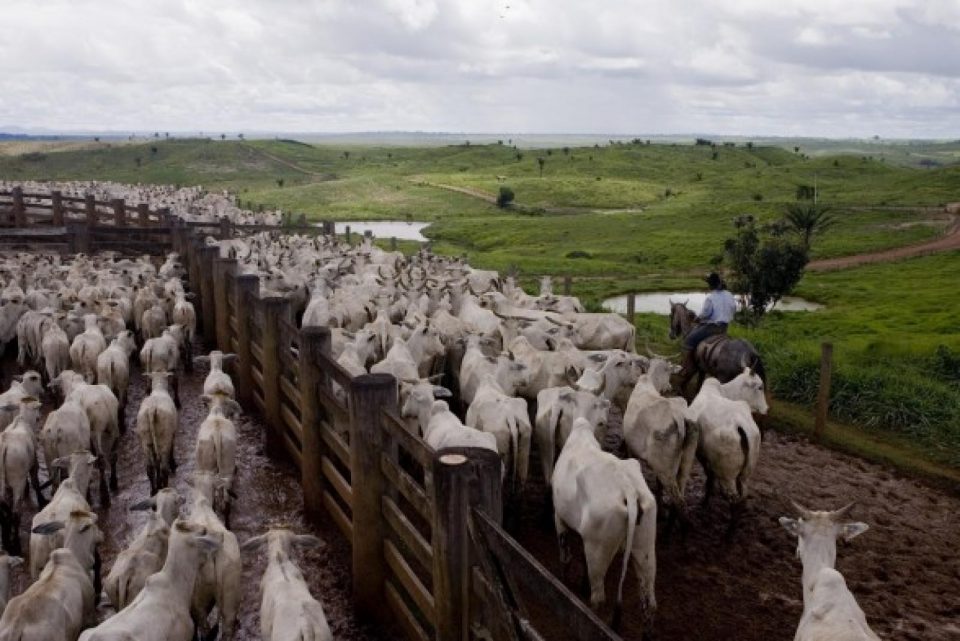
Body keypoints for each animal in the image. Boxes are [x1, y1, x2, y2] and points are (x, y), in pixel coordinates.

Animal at [552, 418, 656, 628]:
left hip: (598, 549)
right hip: (645, 548)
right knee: (648, 603)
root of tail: (629, 489)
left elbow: (566, 557)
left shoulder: (559, 517)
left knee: (599, 597)